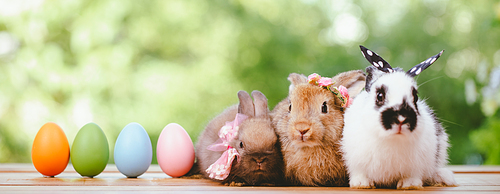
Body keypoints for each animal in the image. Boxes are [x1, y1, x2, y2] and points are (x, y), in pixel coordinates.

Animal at [342, 45, 458, 189]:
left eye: (415, 97)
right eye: (380, 96)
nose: (401, 118)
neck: (391, 139)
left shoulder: (417, 166)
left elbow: (412, 175)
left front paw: (410, 185)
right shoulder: (355, 162)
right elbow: (360, 173)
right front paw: (361, 184)